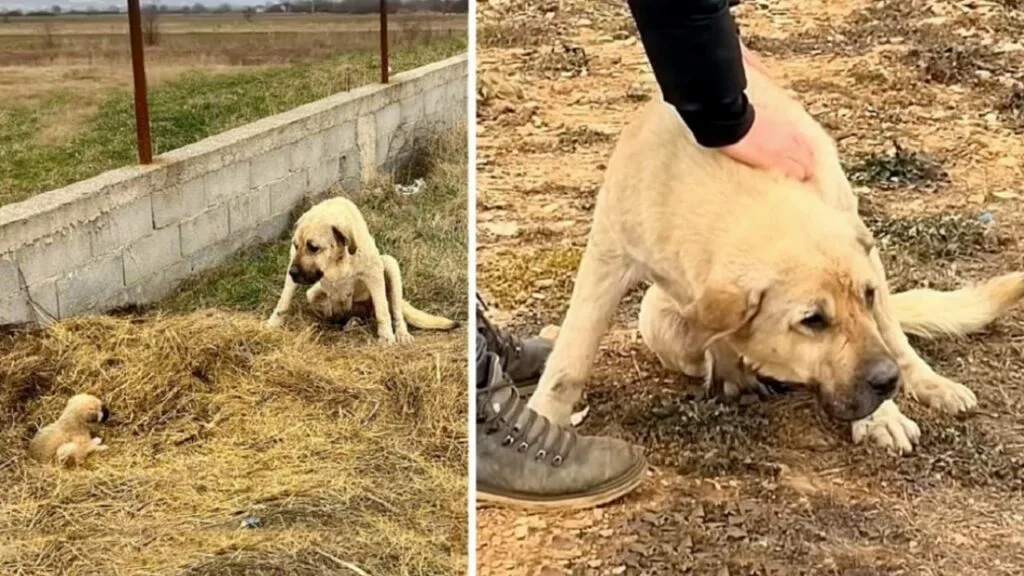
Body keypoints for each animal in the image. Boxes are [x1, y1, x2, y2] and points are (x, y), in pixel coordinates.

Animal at [268, 194, 456, 342]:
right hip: (313, 294)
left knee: (395, 311)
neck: (337, 259)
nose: (292, 273)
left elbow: (383, 311)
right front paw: (272, 324)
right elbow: (283, 302)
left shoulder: (374, 273)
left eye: (313, 247)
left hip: (389, 264)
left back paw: (401, 333)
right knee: (342, 315)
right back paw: (351, 322)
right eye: (295, 245)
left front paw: (386, 336)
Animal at [528, 60, 1024, 453]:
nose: (887, 384)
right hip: (658, 322)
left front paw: (882, 416)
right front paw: (543, 420)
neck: (731, 181)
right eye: (812, 320)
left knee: (899, 341)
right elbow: (569, 361)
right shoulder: (608, 256)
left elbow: (886, 338)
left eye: (863, 297)